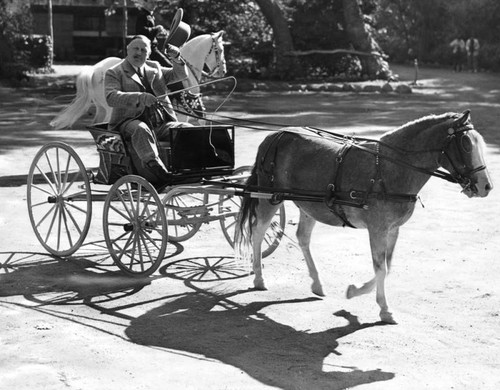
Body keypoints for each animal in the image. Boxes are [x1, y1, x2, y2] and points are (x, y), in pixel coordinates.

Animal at [49, 30, 227, 128]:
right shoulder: (189, 109)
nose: (223, 71)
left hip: (101, 107)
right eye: (220, 50)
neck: (187, 73)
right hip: (111, 108)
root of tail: (93, 70)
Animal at [237, 109, 492, 322]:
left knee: (302, 238)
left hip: (309, 205)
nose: (486, 186)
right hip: (269, 196)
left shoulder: (392, 229)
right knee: (258, 232)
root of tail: (275, 136)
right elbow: (380, 268)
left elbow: (387, 266)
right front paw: (383, 309)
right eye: (466, 145)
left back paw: (316, 283)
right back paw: (258, 277)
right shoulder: (377, 228)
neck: (390, 168)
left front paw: (355, 292)